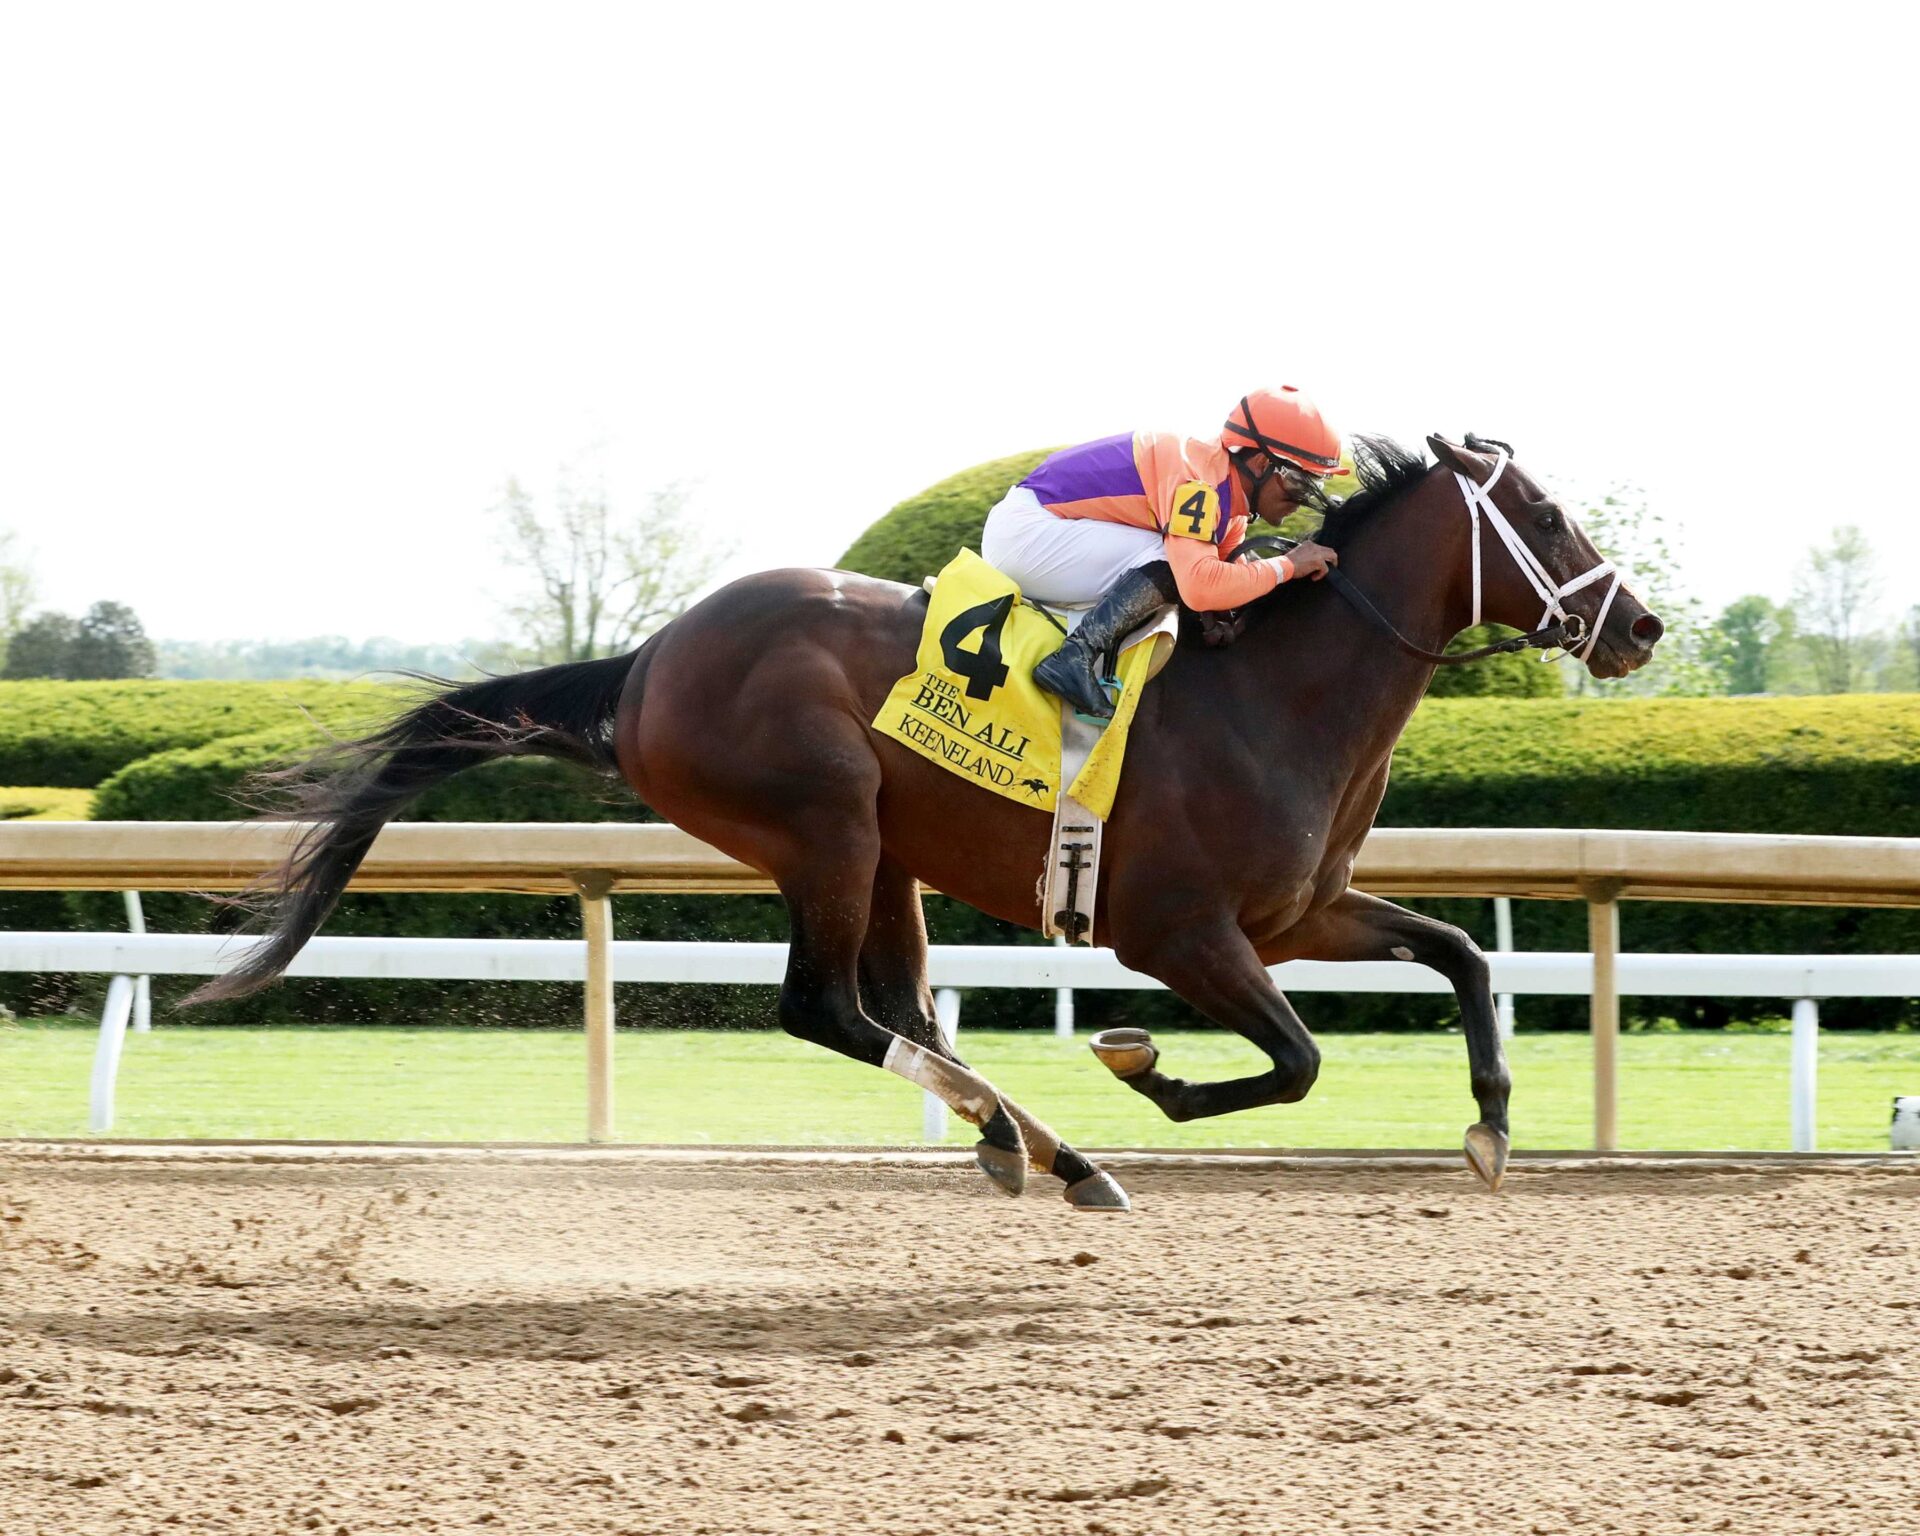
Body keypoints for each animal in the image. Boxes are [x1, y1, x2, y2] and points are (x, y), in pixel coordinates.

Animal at [191, 433, 1662, 1211]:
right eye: (1542, 512)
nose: (1640, 625)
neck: (1271, 694)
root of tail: (650, 659)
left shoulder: (1297, 914)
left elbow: (1460, 955)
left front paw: (1490, 1126)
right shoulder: (1178, 933)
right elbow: (1295, 1061)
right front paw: (1145, 1067)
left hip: (888, 852)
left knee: (898, 1010)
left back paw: (1039, 1147)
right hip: (824, 824)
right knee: (828, 1010)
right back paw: (1045, 1145)